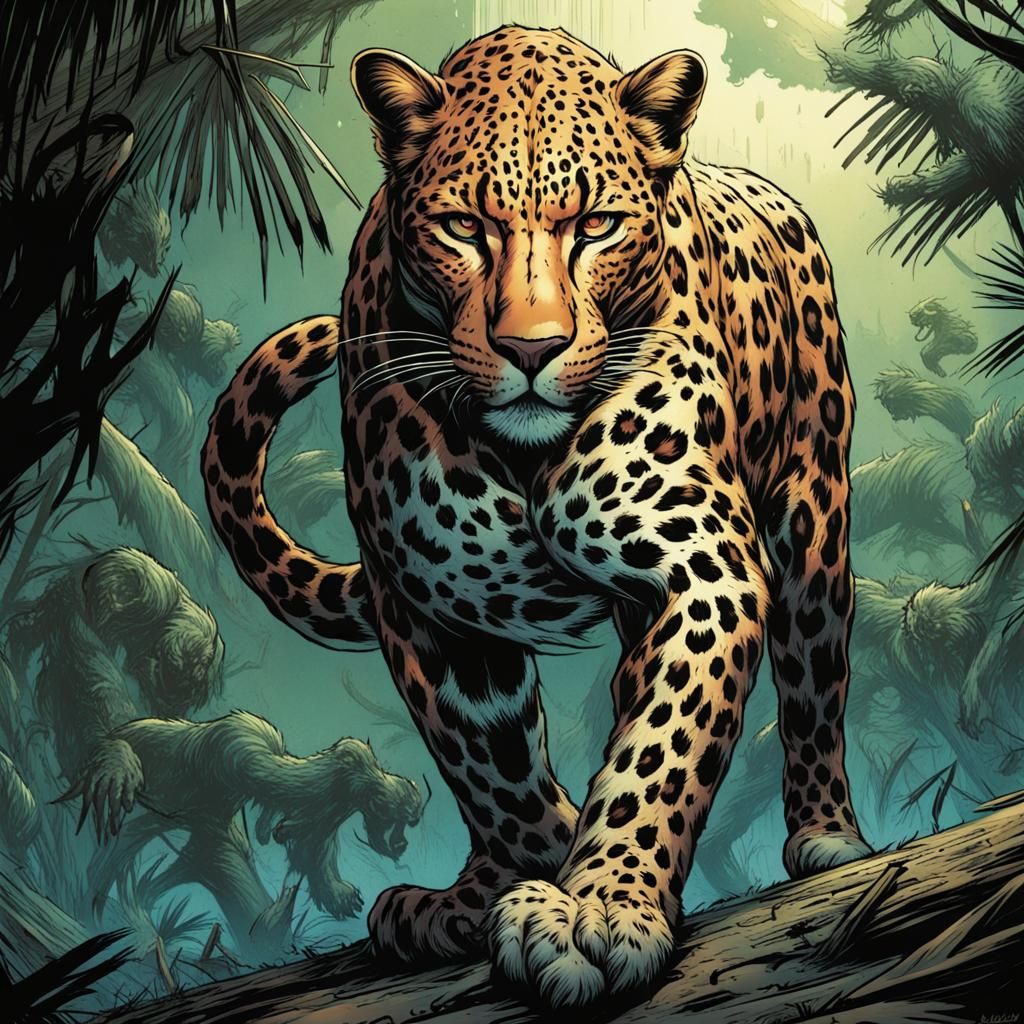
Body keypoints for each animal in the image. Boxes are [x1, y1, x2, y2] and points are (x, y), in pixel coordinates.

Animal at [202, 26, 873, 1008]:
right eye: (463, 227)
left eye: (594, 226)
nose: (531, 349)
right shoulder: (434, 610)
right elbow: (498, 777)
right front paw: (534, 880)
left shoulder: (705, 566)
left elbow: (662, 746)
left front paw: (601, 906)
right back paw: (452, 900)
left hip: (814, 515)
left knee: (814, 677)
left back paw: (829, 835)